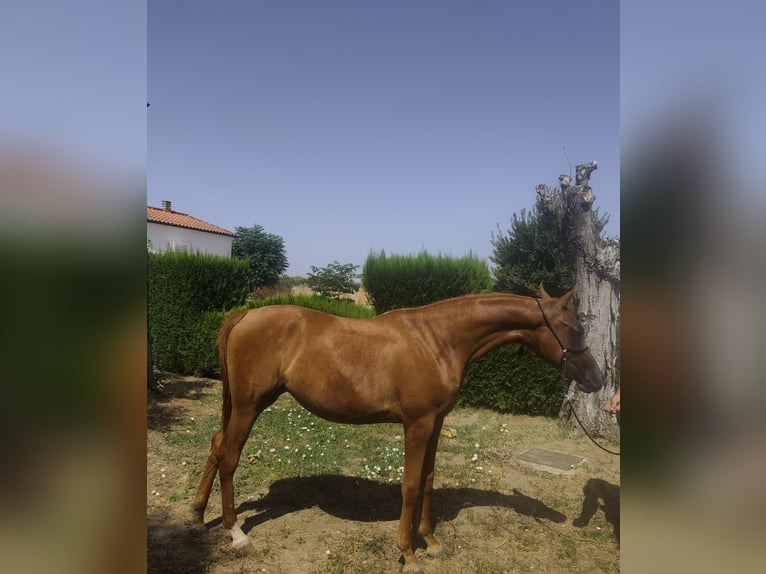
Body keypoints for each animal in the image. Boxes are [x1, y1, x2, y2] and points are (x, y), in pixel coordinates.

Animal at [191, 284, 603, 573]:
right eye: (575, 329)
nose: (596, 380)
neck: (438, 340)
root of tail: (244, 316)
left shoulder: (436, 422)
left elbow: (428, 479)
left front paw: (431, 542)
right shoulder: (417, 425)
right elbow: (409, 485)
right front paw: (408, 553)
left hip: (241, 406)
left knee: (215, 445)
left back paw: (197, 515)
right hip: (250, 406)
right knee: (228, 455)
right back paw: (236, 533)